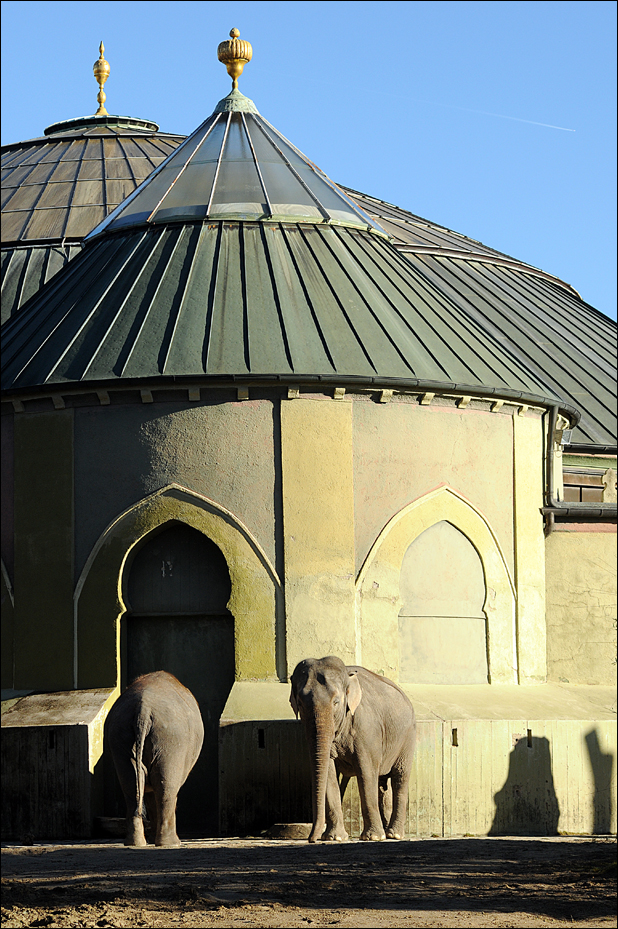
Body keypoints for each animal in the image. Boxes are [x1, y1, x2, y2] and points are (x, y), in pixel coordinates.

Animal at [105, 671, 204, 847]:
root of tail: (143, 709)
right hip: (172, 740)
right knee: (166, 787)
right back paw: (171, 843)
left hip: (120, 735)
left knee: (132, 787)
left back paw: (136, 843)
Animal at [290, 656, 416, 843]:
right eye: (300, 704)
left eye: (336, 702)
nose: (312, 838)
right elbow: (329, 772)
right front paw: (335, 838)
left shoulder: (366, 728)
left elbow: (366, 771)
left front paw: (373, 838)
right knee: (383, 783)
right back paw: (387, 831)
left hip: (408, 737)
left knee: (399, 777)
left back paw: (394, 835)